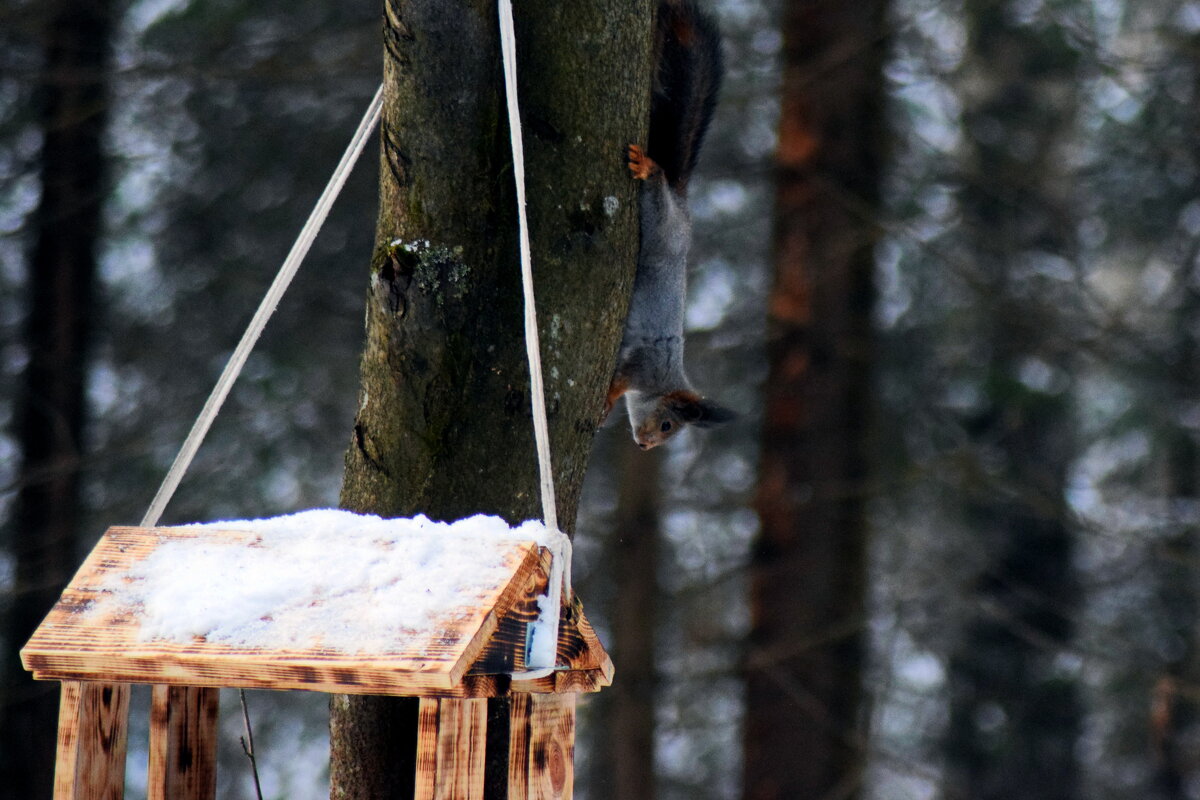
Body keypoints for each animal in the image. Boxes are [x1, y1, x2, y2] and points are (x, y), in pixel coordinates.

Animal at [604, 0, 734, 450]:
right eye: (667, 425)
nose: (644, 446)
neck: (662, 383)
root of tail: (682, 206)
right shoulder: (643, 361)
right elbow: (620, 378)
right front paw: (607, 400)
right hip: (662, 227)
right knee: (657, 186)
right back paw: (649, 167)